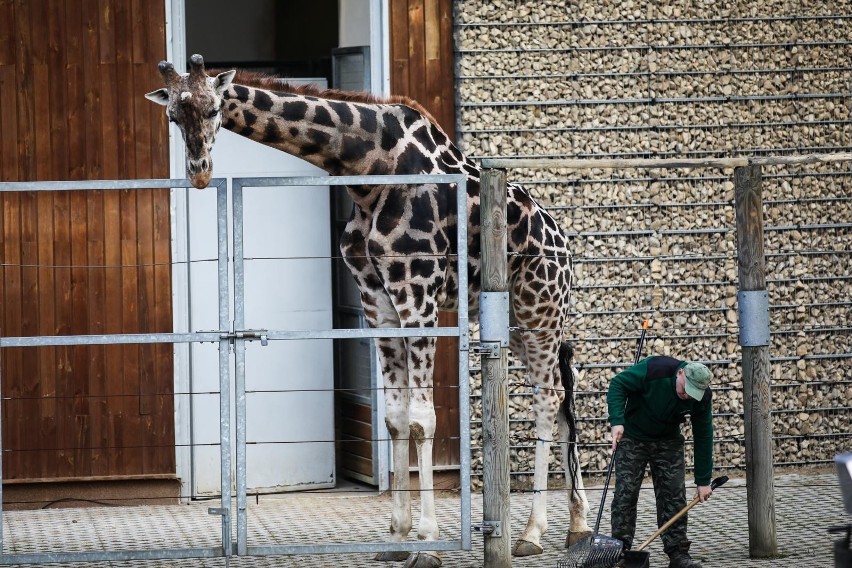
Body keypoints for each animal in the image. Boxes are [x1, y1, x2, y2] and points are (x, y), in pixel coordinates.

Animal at [146, 54, 588, 568]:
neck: (369, 171)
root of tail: (564, 241)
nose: (199, 172)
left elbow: (421, 418)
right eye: (174, 116)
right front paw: (397, 537)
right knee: (563, 395)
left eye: (214, 109)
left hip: (540, 310)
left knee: (547, 400)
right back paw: (577, 526)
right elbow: (394, 417)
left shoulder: (418, 294)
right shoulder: (377, 301)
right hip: (520, 322)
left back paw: (533, 532)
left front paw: (427, 542)